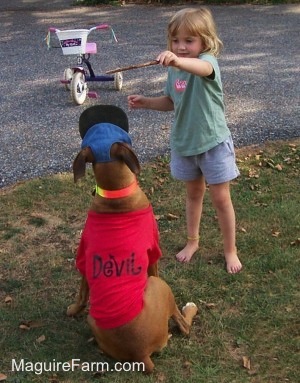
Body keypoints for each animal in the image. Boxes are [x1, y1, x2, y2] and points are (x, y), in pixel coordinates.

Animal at [68, 106, 198, 376]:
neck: (115, 195)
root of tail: (141, 354)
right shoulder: (153, 253)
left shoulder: (84, 258)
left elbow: (82, 291)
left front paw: (73, 309)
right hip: (161, 287)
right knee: (183, 326)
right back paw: (189, 309)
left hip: (94, 320)